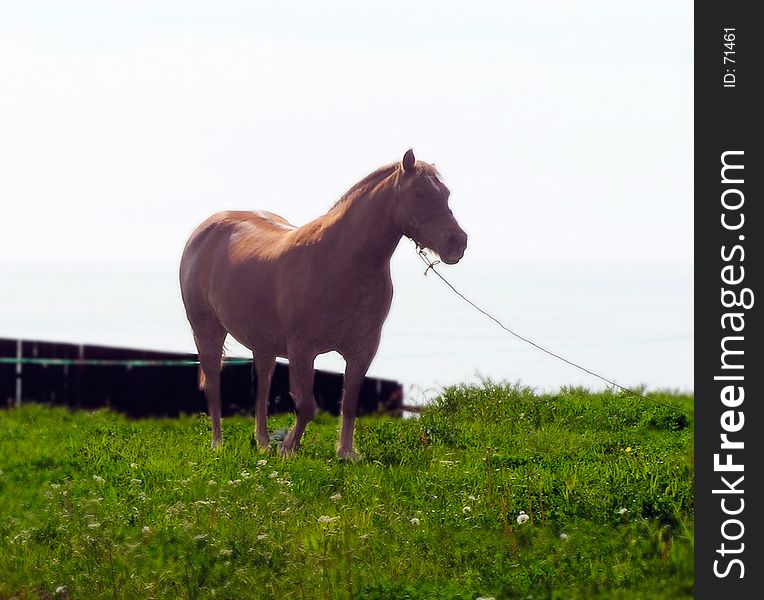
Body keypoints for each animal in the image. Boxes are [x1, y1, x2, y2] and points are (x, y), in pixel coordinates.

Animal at [179, 148, 466, 458]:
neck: (338, 261)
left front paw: (345, 453)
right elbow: (306, 406)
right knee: (214, 383)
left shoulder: (363, 350)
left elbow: (349, 403)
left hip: (263, 343)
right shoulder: (302, 349)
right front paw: (288, 448)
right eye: (419, 193)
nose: (457, 242)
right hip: (207, 330)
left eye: (446, 193)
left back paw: (264, 443)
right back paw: (218, 444)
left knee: (263, 386)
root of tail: (204, 231)